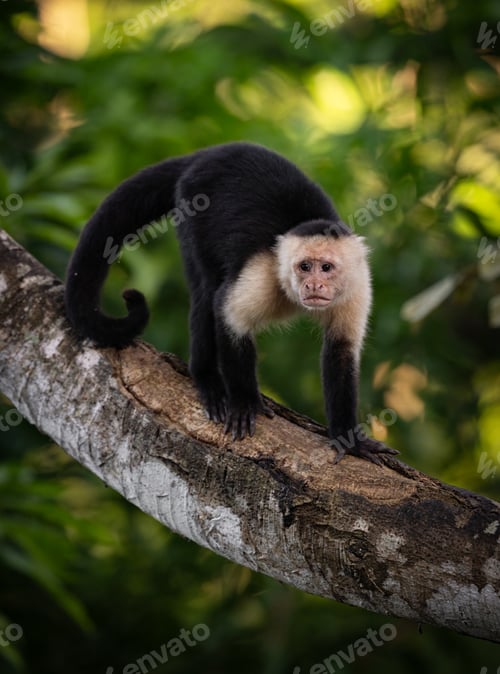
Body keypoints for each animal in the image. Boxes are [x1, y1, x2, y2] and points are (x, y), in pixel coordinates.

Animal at [65, 142, 398, 464]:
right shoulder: (264, 271)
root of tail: (208, 153)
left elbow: (341, 350)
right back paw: (207, 378)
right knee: (207, 291)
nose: (313, 284)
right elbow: (228, 315)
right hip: (191, 202)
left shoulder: (357, 283)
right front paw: (245, 401)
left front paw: (349, 440)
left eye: (326, 268)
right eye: (304, 266)